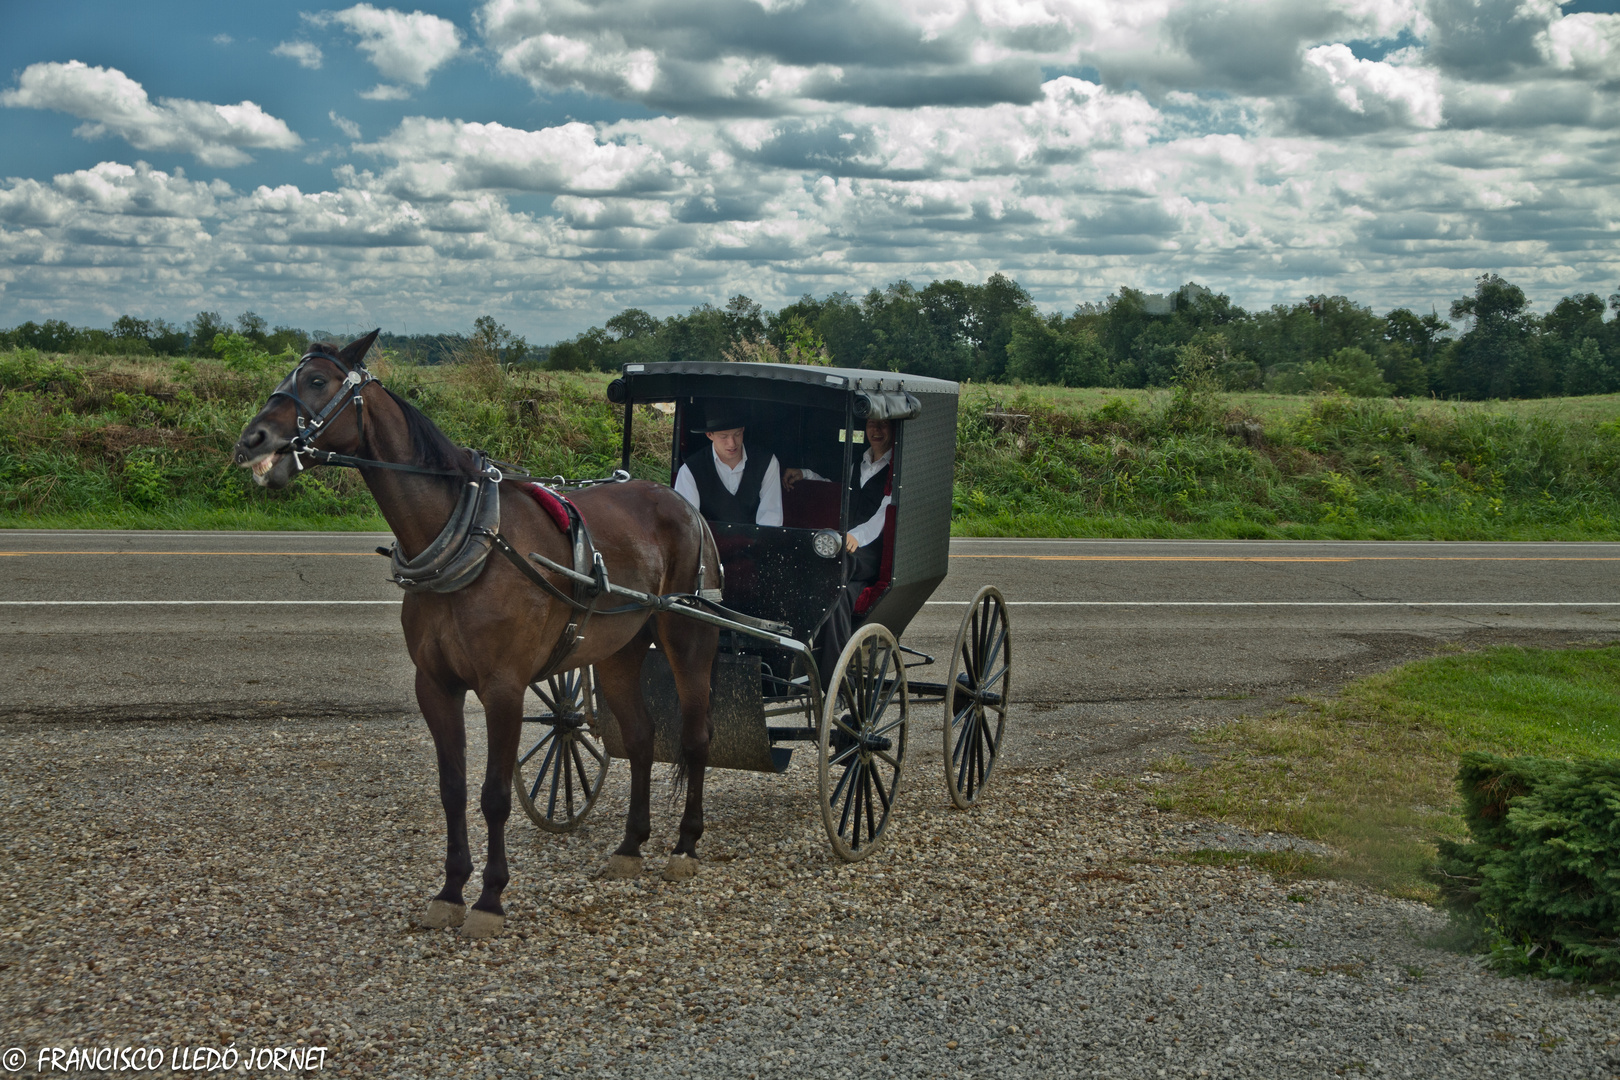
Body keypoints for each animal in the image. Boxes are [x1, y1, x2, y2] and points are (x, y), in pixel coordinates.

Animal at [234, 330, 722, 939]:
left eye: (318, 380)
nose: (250, 439)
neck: (469, 534)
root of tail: (684, 505)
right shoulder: (435, 685)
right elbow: (452, 790)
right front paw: (449, 891)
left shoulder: (503, 688)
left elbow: (494, 796)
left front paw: (490, 898)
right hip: (618, 652)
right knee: (638, 739)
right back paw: (631, 847)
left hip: (688, 636)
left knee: (695, 736)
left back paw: (685, 845)